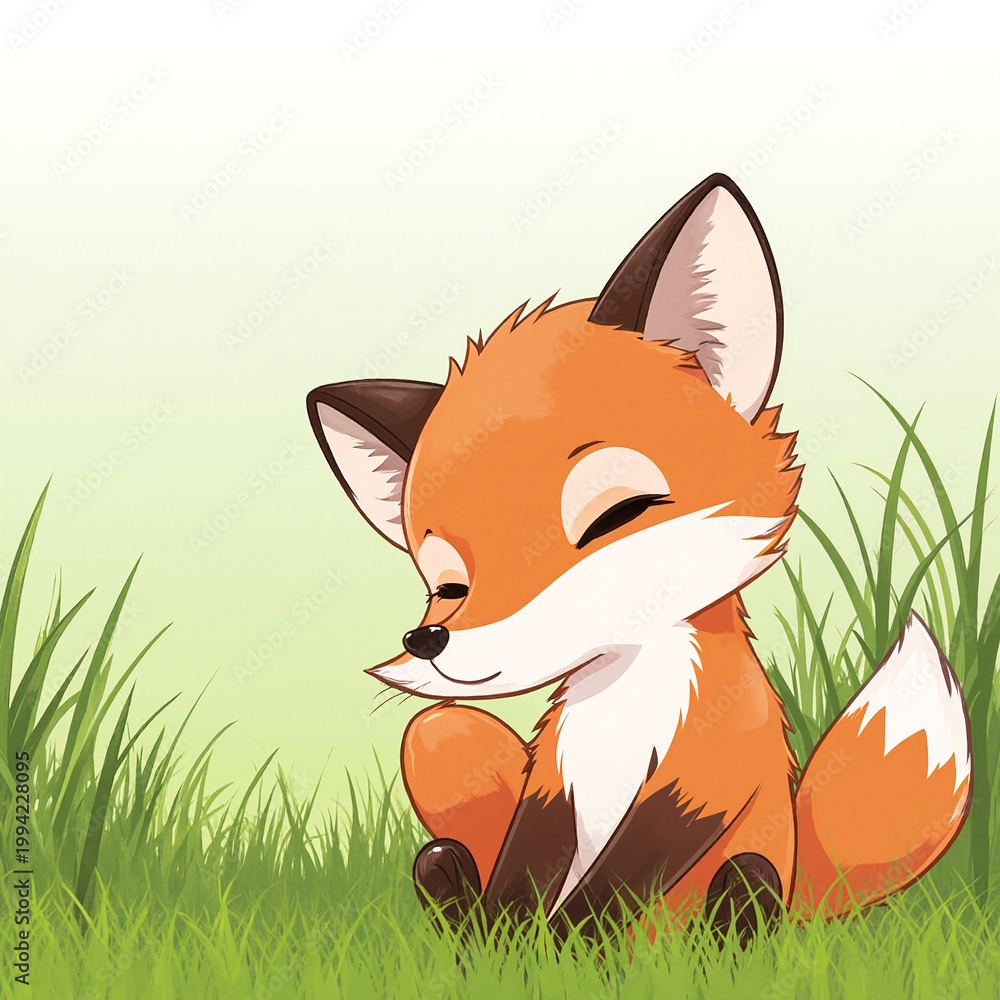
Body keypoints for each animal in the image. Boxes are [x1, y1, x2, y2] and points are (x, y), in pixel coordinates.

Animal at [306, 173, 972, 942]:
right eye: (448, 585)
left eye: (616, 514)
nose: (429, 639)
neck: (624, 697)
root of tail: (806, 884)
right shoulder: (554, 784)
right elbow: (523, 878)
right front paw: (518, 947)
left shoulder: (704, 778)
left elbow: (617, 887)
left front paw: (571, 946)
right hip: (445, 841)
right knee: (441, 862)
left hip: (753, 873)